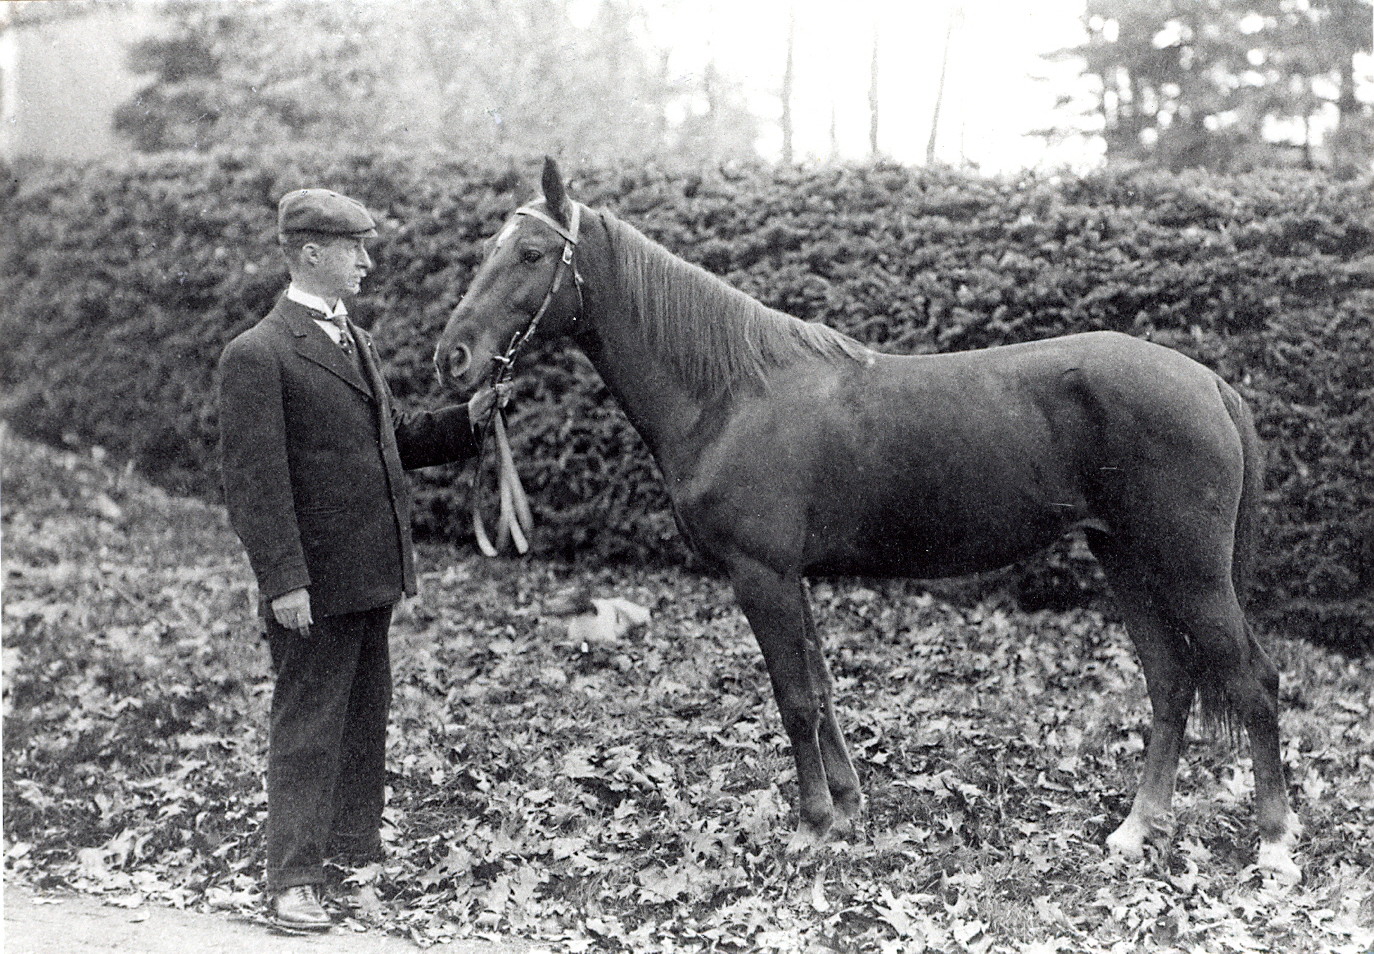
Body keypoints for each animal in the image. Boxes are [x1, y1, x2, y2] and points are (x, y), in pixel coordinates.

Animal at [434, 156, 1302, 879]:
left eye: (531, 254)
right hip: (1125, 560)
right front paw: (850, 810)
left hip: (1190, 572)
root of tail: (1209, 382)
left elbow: (794, 699)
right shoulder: (791, 578)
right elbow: (821, 692)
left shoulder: (762, 576)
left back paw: (1274, 846)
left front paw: (813, 825)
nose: (454, 359)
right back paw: (1137, 828)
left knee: (1252, 680)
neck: (731, 396)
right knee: (1172, 681)